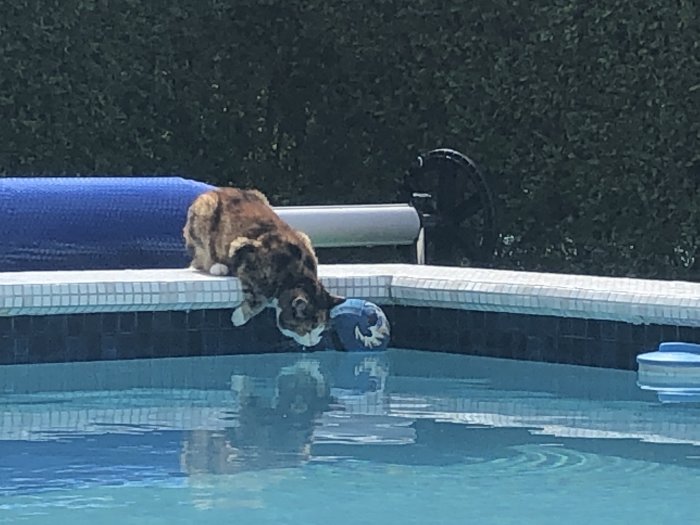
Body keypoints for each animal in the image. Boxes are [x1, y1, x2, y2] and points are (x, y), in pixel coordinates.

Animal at [182, 186, 344, 346]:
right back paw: (218, 267)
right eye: (308, 329)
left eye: (321, 330)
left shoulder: (303, 237)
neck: (295, 274)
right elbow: (259, 298)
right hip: (205, 213)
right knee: (201, 258)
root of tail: (218, 190)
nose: (313, 343)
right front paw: (238, 317)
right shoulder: (242, 250)